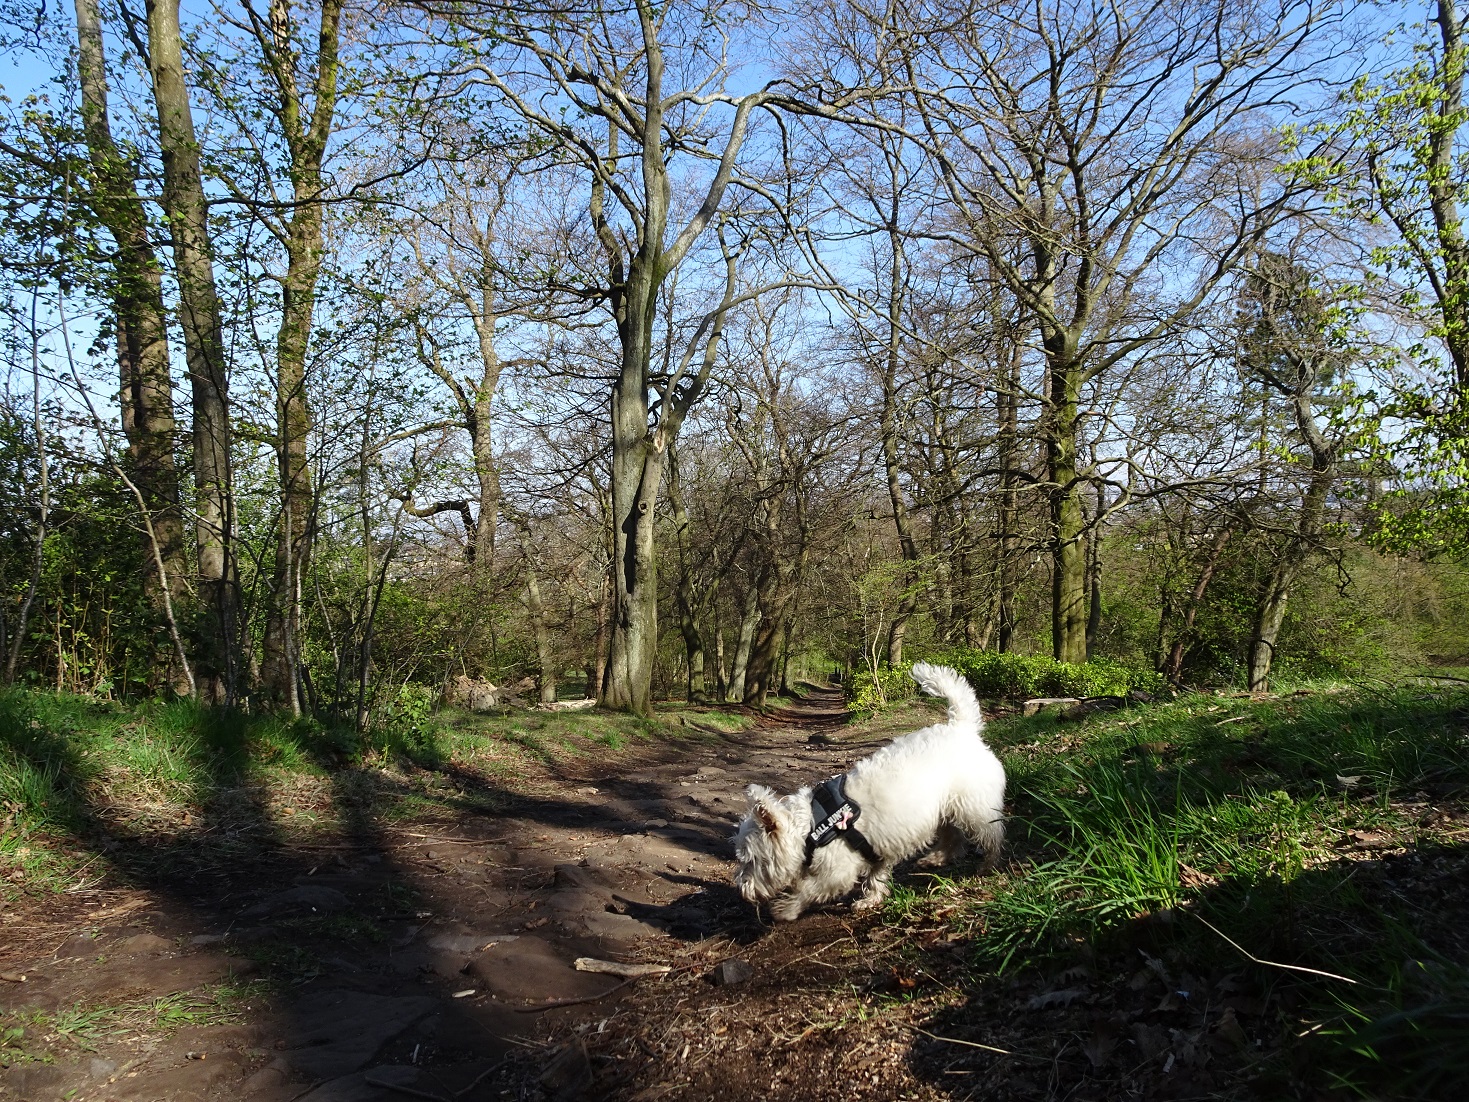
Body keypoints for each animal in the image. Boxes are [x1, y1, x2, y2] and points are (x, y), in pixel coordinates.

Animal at [731, 664, 1004, 922]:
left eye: (750, 860)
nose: (742, 891)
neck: (811, 827)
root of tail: (962, 729)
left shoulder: (838, 871)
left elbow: (809, 890)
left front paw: (785, 909)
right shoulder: (879, 848)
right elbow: (876, 876)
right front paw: (871, 900)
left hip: (974, 808)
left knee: (992, 834)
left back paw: (989, 865)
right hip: (943, 810)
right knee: (954, 838)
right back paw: (935, 858)